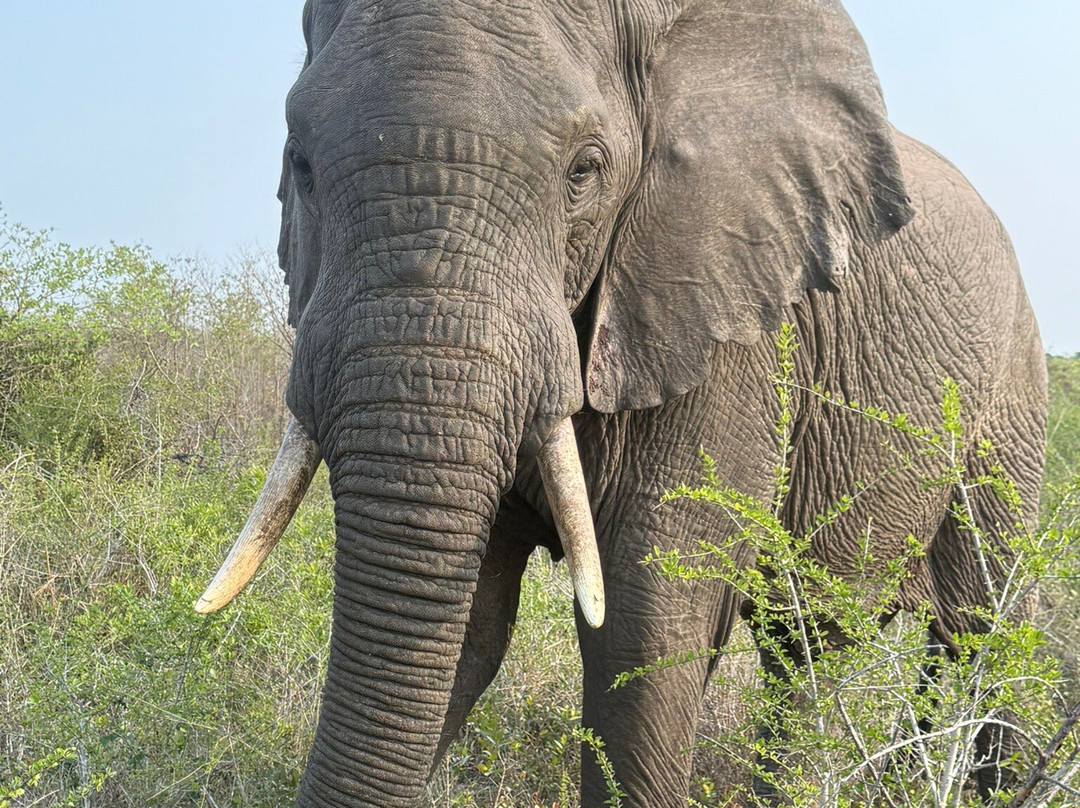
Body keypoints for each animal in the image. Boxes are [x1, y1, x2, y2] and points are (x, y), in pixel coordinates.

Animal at [196, 1, 1047, 806]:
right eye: (301, 163)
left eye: (585, 170)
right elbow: (471, 618)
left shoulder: (718, 320)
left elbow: (644, 629)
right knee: (806, 649)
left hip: (1011, 403)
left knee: (979, 630)